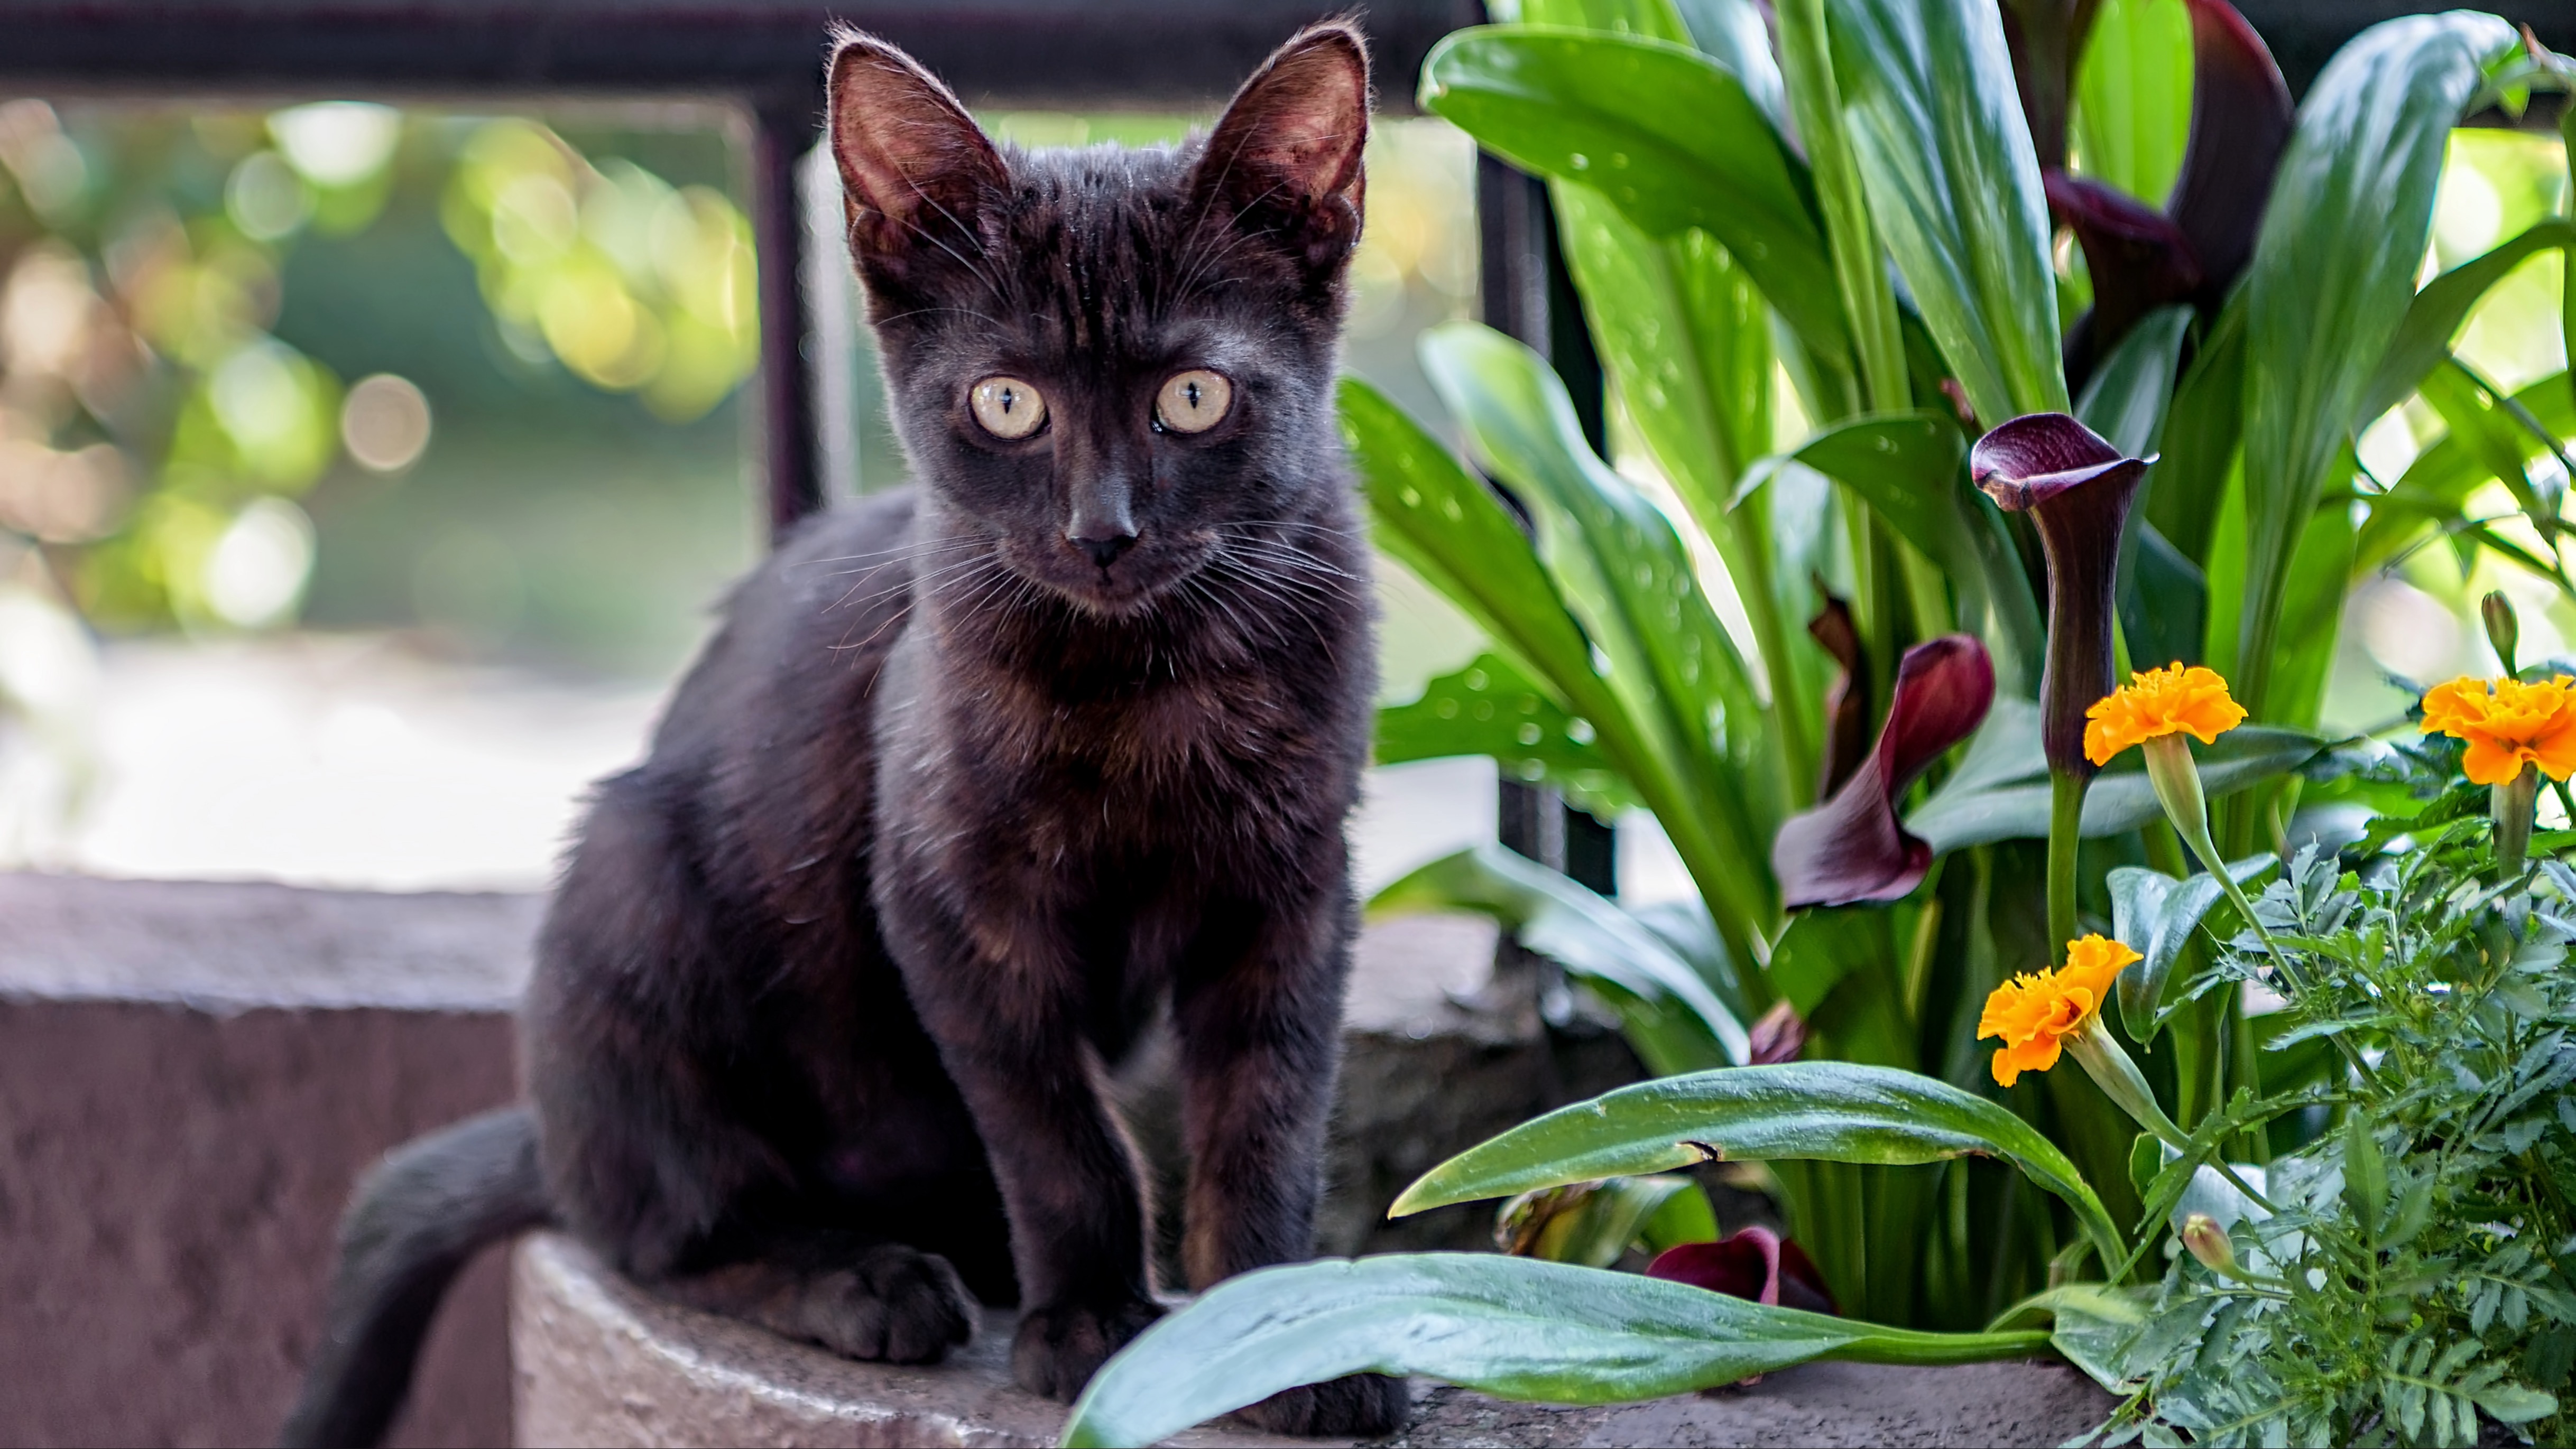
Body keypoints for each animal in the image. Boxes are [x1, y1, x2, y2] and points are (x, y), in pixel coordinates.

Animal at [282, 22, 1411, 1449]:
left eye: (1195, 397)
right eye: (1006, 404)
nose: (1102, 531)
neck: (1145, 683)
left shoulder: (1294, 892)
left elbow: (1267, 1121)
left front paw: (1280, 1334)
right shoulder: (949, 901)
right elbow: (1058, 1136)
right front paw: (1089, 1324)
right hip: (632, 885)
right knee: (661, 1229)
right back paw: (864, 1279)